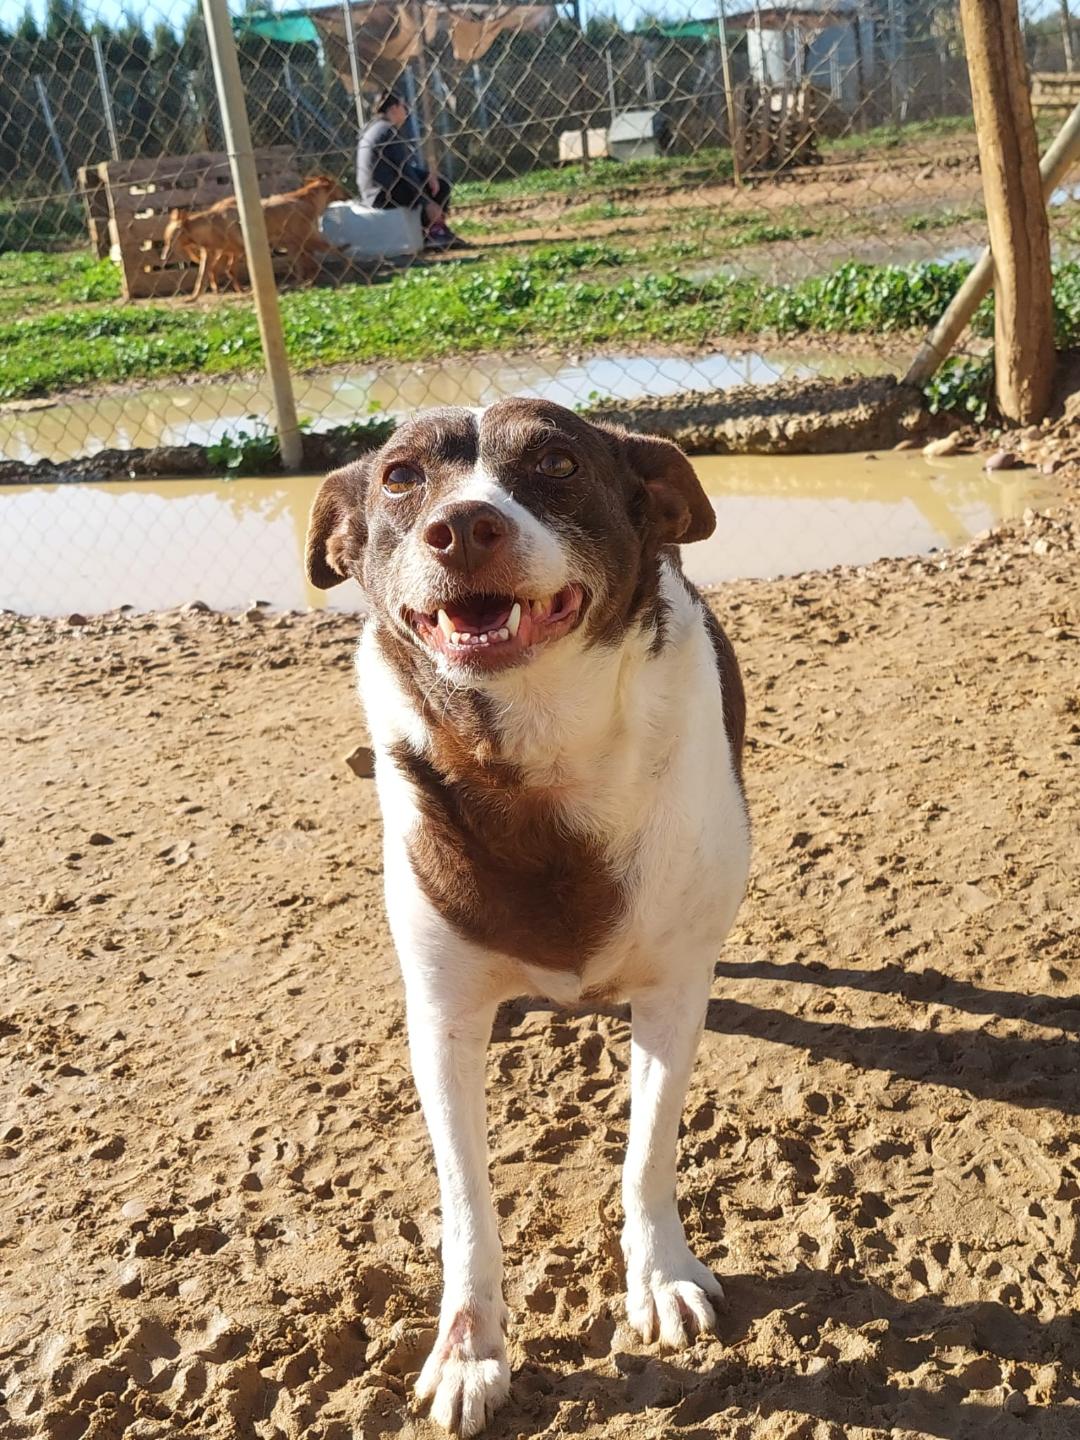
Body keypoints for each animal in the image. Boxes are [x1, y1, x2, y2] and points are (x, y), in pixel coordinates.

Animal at [161, 175, 347, 299]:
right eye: (165, 240)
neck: (213, 223)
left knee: (327, 253)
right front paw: (194, 297)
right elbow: (203, 277)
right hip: (297, 242)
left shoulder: (239, 251)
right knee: (311, 261)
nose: (163, 258)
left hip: (304, 239)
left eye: (171, 238)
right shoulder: (217, 253)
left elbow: (230, 271)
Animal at [305, 398, 750, 1436]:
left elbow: (648, 1147)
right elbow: (466, 1200)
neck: (537, 759)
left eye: (556, 461)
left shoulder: (672, 994)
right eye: (400, 477)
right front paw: (470, 1351)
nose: (464, 526)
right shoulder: (442, 1020)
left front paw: (659, 1275)